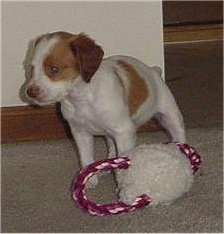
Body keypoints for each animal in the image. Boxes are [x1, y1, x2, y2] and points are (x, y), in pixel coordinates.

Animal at [23, 32, 186, 187]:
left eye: (55, 69)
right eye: (32, 69)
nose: (30, 92)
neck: (82, 97)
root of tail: (154, 71)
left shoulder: (124, 132)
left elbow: (123, 163)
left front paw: (122, 185)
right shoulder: (80, 133)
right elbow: (86, 158)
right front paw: (89, 180)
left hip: (170, 116)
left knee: (179, 135)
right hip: (109, 134)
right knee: (112, 148)